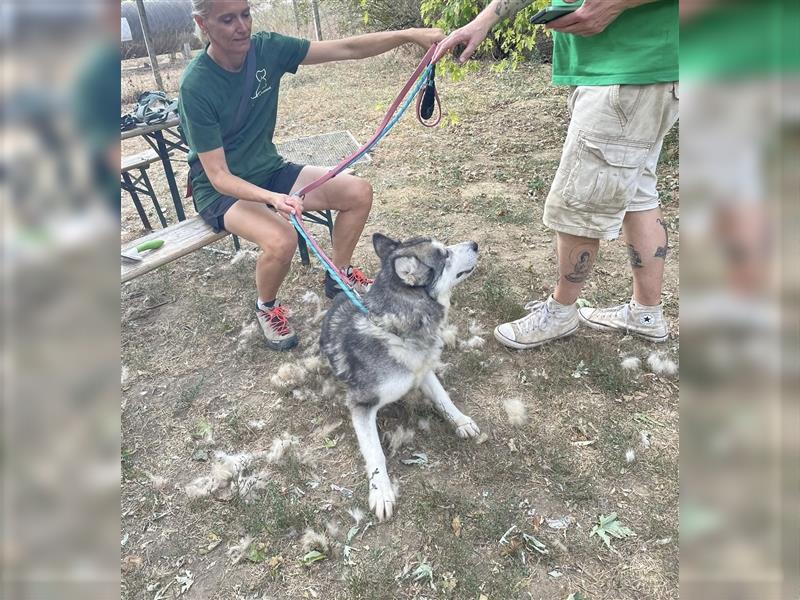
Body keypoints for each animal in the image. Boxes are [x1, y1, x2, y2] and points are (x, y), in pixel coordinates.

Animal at [318, 234, 482, 520]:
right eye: (445, 255)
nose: (474, 244)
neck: (397, 332)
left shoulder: (424, 372)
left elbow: (444, 398)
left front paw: (461, 421)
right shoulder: (361, 405)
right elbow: (375, 453)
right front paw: (381, 491)